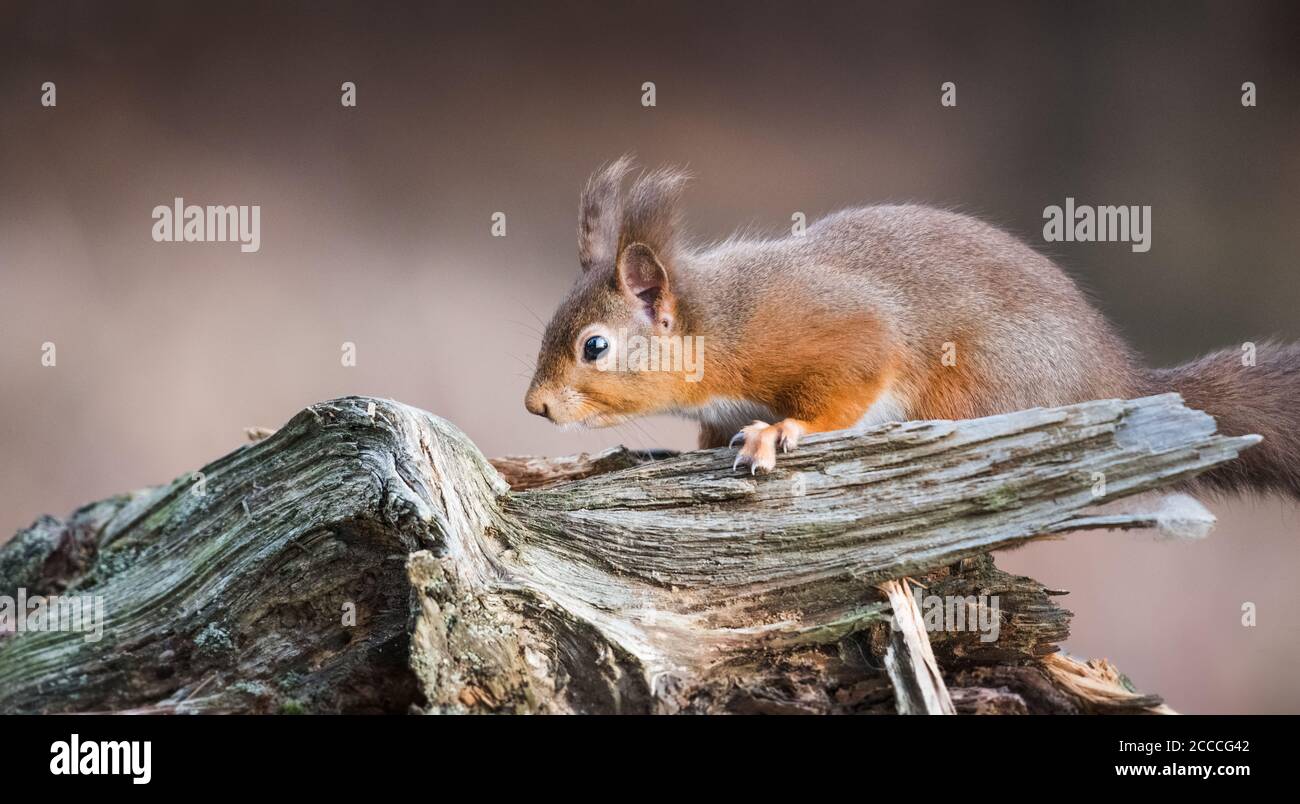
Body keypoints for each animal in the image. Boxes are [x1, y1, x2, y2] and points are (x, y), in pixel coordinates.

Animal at [525, 154, 1300, 494]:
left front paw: (782, 430)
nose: (534, 407)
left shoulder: (835, 331)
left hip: (982, 385)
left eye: (595, 346)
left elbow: (845, 386)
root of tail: (1114, 379)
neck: (720, 323)